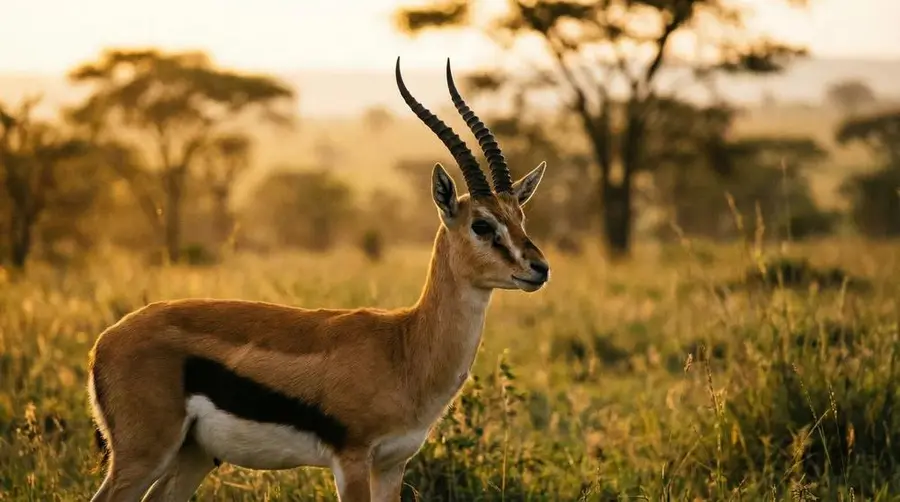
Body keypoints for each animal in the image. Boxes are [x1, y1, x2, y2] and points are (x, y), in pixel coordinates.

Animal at [86, 57, 551, 502]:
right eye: (481, 224)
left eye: (520, 217)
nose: (539, 268)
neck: (405, 348)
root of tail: (103, 342)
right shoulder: (352, 460)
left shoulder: (392, 464)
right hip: (145, 453)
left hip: (194, 454)